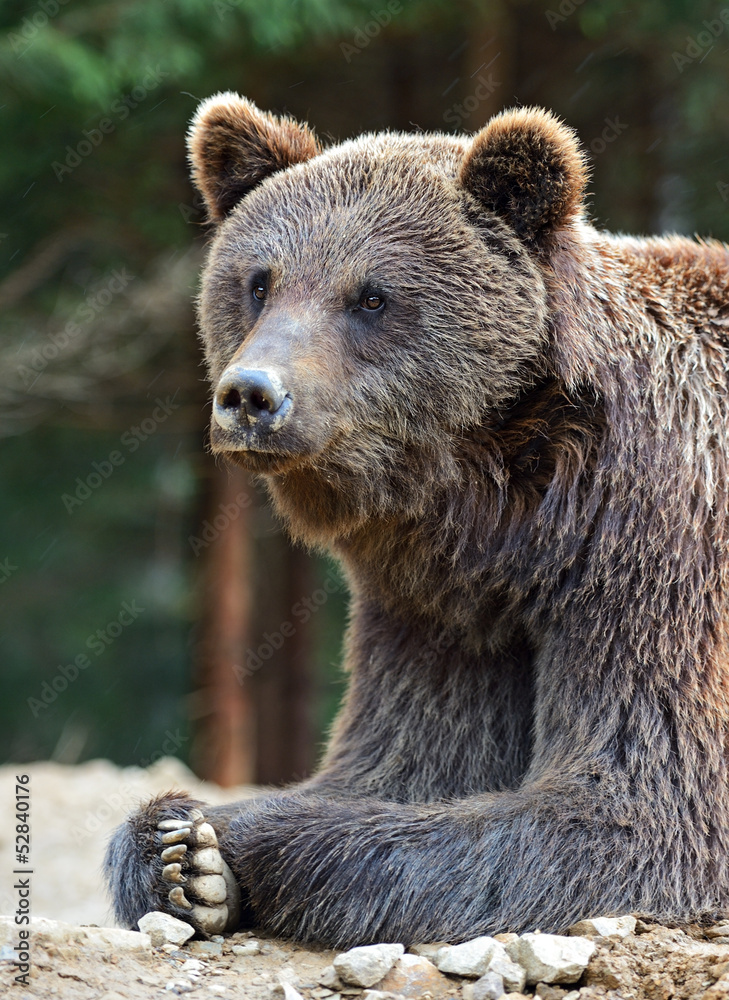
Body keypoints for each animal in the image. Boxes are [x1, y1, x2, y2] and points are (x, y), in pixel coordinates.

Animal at [104, 93, 729, 948]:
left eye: (371, 296)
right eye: (258, 282)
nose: (251, 395)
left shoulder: (656, 539)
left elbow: (634, 807)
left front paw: (241, 841)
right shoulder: (440, 601)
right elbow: (407, 754)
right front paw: (176, 850)